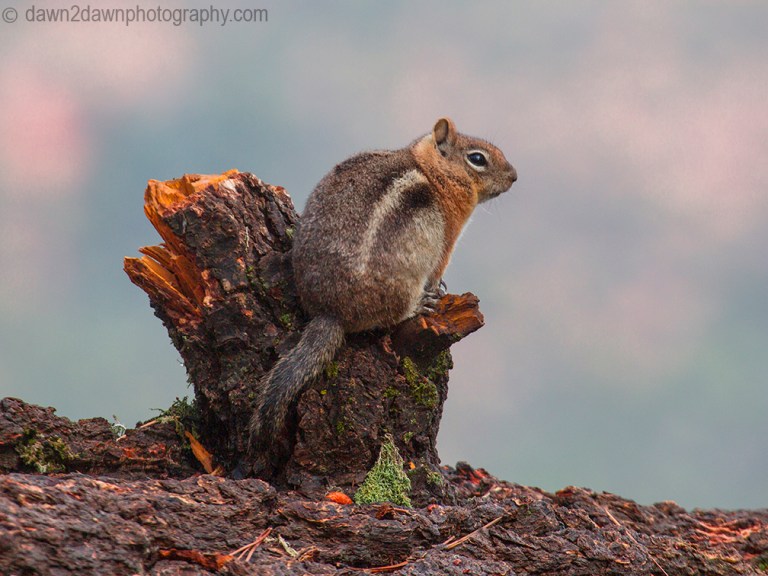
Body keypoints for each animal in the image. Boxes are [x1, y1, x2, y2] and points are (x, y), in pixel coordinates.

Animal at [249, 117, 516, 449]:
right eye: (477, 158)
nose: (514, 176)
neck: (432, 171)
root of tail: (330, 312)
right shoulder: (447, 242)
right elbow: (438, 270)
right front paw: (438, 288)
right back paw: (419, 305)